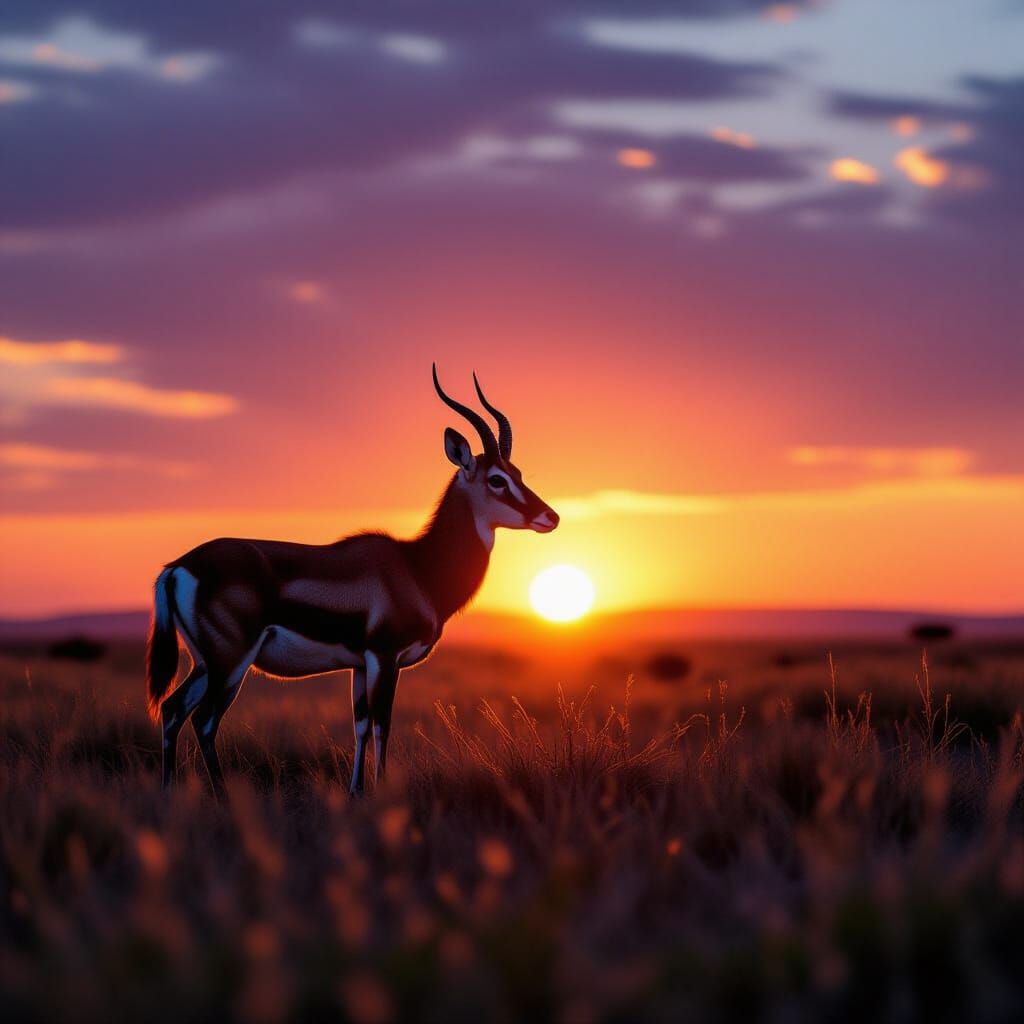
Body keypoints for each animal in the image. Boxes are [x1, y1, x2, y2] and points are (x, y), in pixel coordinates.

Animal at [146, 366, 559, 794]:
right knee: (204, 720)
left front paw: (357, 791)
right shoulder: (384, 657)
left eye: (517, 473)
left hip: (205, 663)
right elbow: (382, 725)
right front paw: (380, 790)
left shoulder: (359, 665)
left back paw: (169, 791)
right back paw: (221, 796)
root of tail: (177, 566)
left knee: (172, 709)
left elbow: (360, 725)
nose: (551, 517)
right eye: (496, 480)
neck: (417, 568)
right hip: (230, 662)